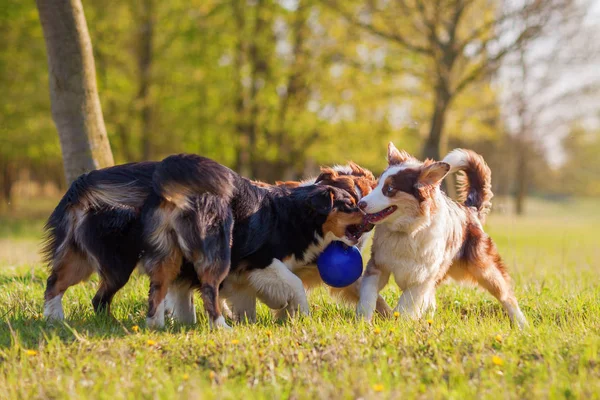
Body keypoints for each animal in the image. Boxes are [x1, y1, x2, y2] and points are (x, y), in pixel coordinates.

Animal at [354, 144, 528, 328]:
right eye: (377, 185)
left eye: (389, 189)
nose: (360, 204)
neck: (407, 232)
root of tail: (470, 210)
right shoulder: (378, 265)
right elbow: (368, 295)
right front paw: (363, 322)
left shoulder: (421, 279)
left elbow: (405, 307)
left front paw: (397, 326)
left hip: (483, 268)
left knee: (506, 294)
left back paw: (522, 324)